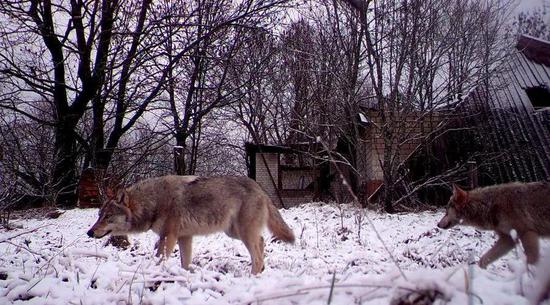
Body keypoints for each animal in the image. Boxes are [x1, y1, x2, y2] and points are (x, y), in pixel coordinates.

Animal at [86, 175, 296, 274]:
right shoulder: (184, 237)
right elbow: (185, 263)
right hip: (234, 232)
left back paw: (252, 277)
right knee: (262, 241)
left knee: (257, 254)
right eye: (99, 215)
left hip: (242, 233)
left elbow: (160, 258)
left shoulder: (168, 236)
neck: (154, 201)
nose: (89, 232)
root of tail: (260, 189)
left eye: (107, 216)